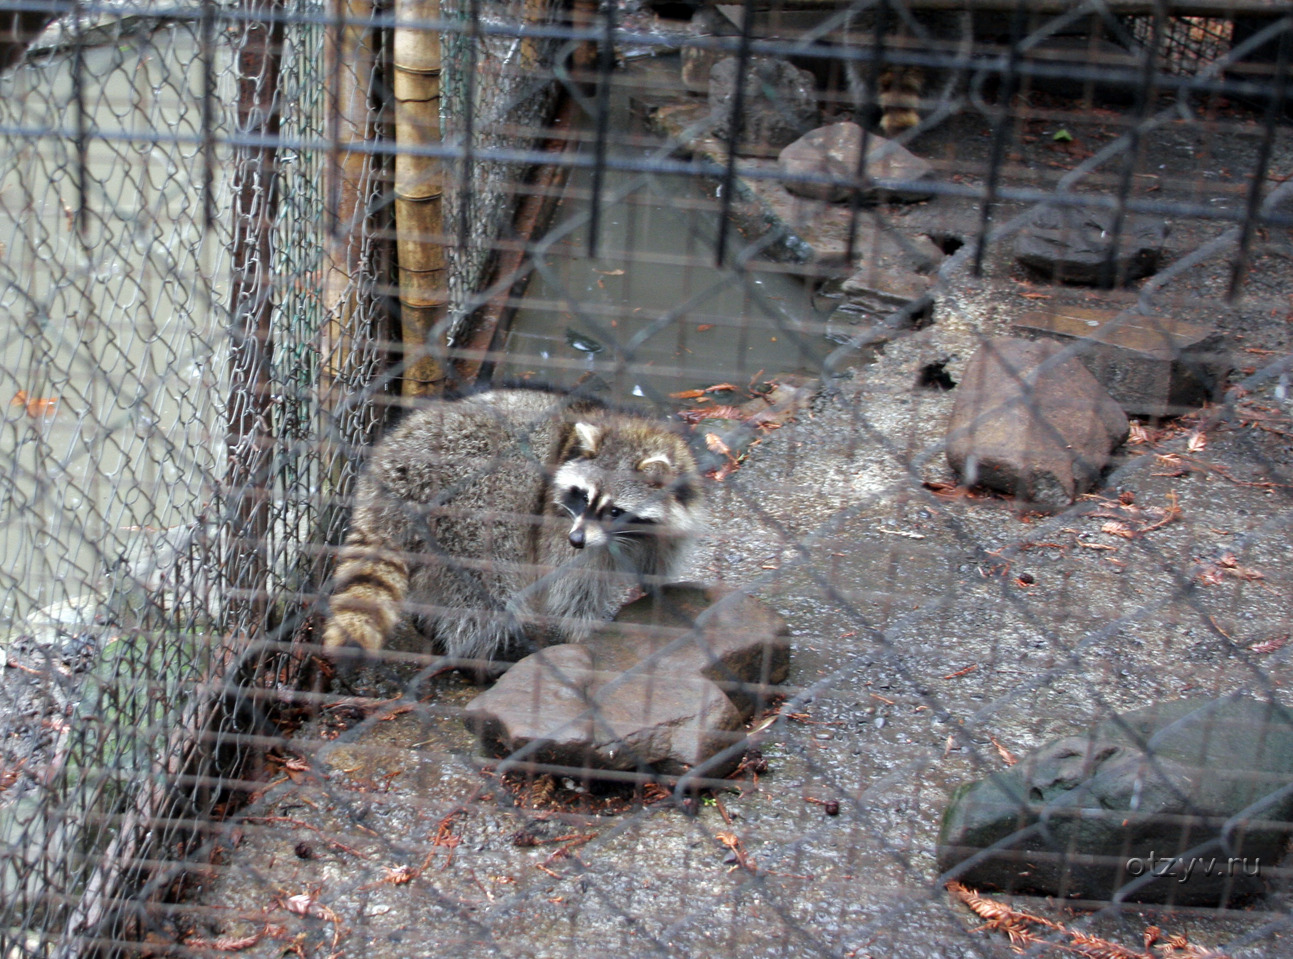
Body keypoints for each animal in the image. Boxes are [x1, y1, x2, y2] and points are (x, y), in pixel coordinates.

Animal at [323, 390, 708, 666]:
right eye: (582, 496)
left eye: (615, 511)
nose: (577, 539)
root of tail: (391, 470)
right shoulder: (556, 519)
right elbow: (575, 587)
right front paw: (585, 634)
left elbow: (659, 557)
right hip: (473, 503)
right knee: (486, 585)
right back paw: (479, 652)